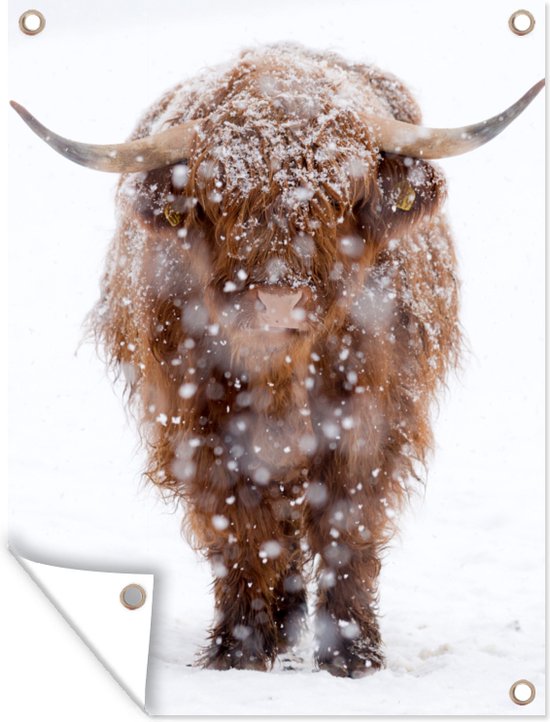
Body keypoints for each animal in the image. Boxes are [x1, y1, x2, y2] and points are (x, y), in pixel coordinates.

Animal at [11, 44, 543, 677]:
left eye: (341, 194)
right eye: (221, 196)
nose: (277, 298)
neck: (281, 370)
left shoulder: (369, 416)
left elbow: (346, 521)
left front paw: (351, 653)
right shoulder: (198, 425)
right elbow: (239, 529)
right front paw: (238, 648)